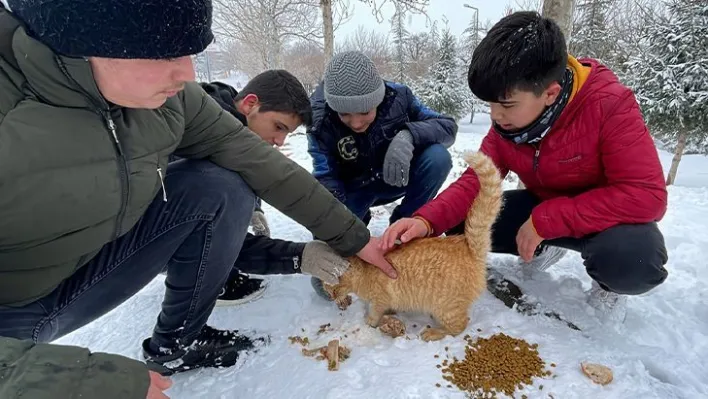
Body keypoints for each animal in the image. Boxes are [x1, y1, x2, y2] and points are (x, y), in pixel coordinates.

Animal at [324, 152, 504, 342]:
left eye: (333, 288)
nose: (331, 297)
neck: (365, 272)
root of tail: (468, 246)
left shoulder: (380, 299)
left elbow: (375, 313)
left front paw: (369, 323)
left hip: (446, 308)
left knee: (460, 326)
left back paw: (434, 332)